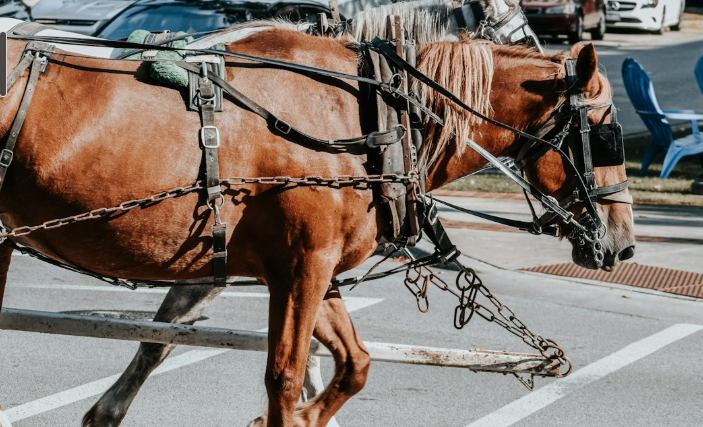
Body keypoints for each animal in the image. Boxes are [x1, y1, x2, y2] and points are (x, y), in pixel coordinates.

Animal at [1, 27, 634, 427]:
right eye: (607, 131)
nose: (625, 244)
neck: (369, 116)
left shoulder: (312, 268)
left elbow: (354, 365)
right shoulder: (302, 265)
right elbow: (284, 376)